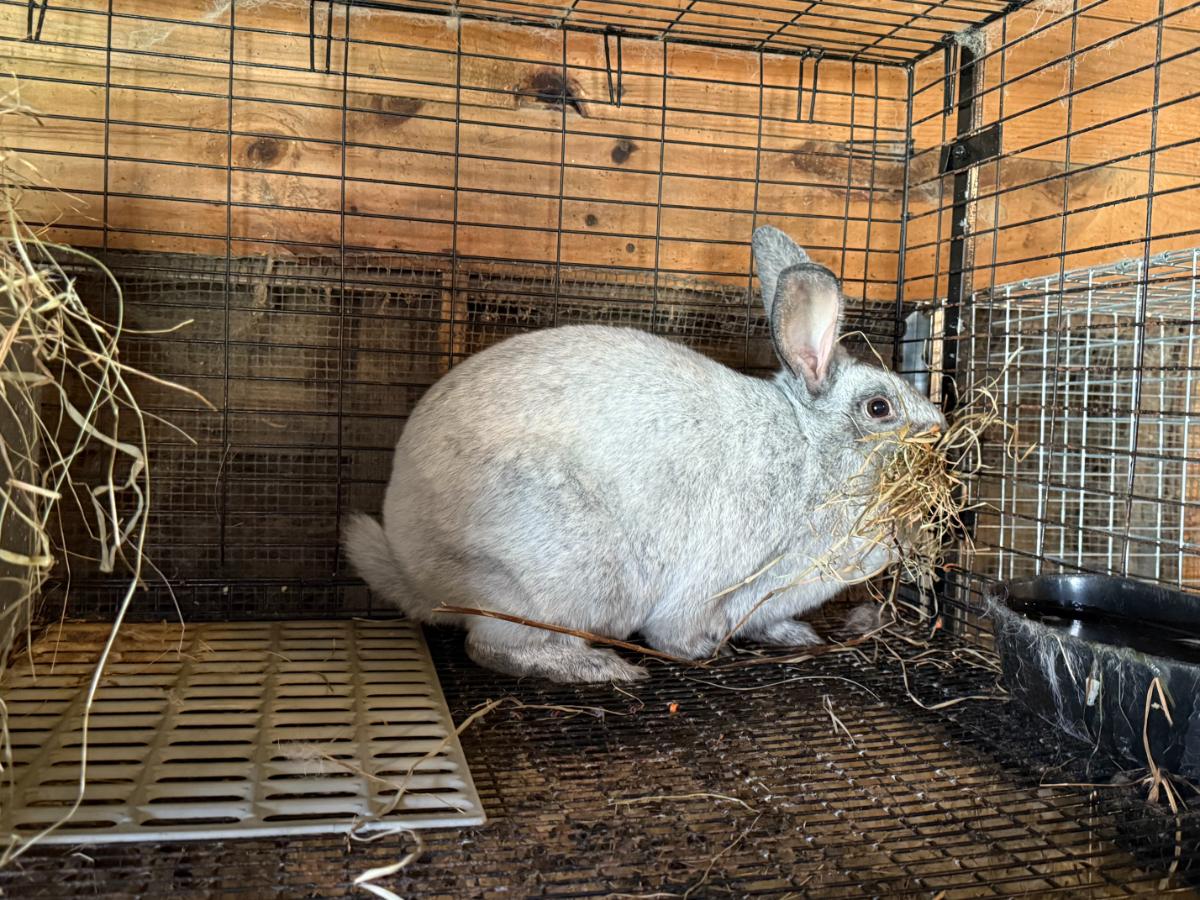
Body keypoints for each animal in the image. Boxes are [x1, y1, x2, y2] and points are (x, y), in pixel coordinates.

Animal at [344, 225, 946, 684]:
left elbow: (764, 621)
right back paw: (602, 668)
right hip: (561, 579)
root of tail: (412, 567)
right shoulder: (718, 579)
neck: (810, 450)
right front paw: (699, 651)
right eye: (878, 408)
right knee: (491, 647)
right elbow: (676, 631)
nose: (940, 431)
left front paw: (795, 635)